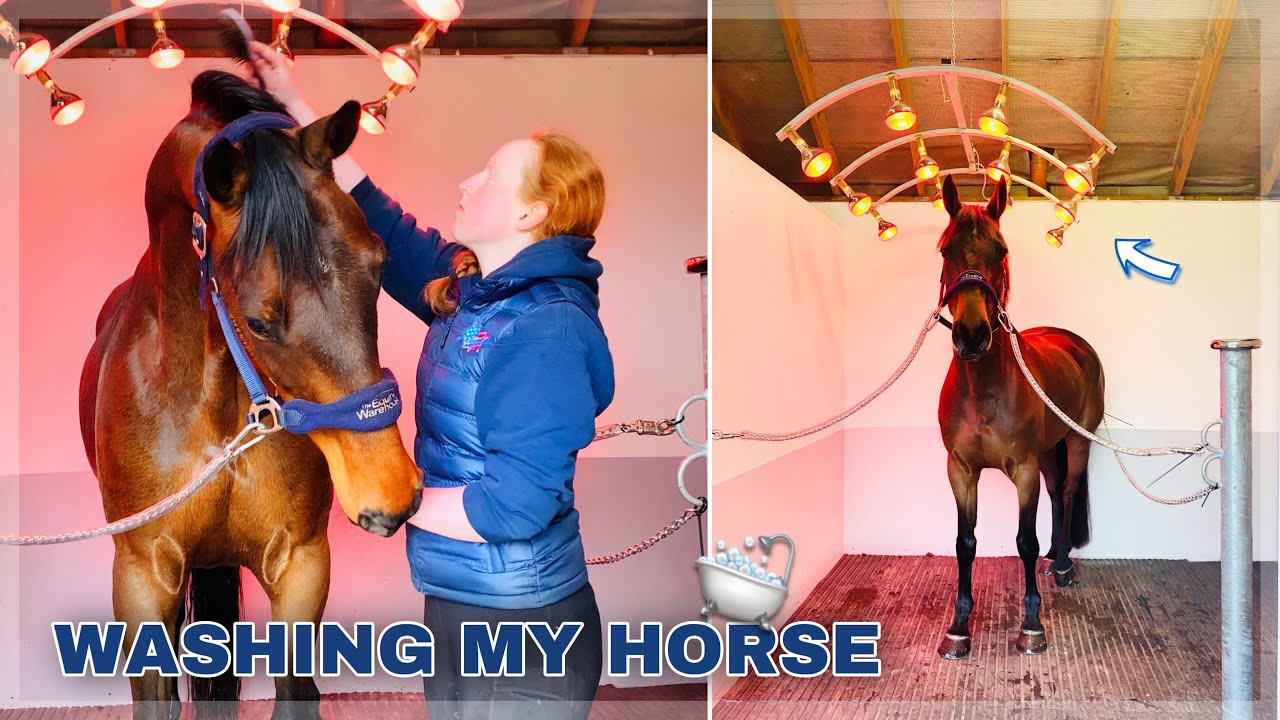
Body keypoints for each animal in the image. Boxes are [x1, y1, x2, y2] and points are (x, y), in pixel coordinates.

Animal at [934, 175, 1105, 659]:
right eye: (945, 251)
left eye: (1001, 250)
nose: (972, 335)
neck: (984, 390)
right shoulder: (961, 470)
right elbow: (965, 542)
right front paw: (959, 626)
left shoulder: (1023, 469)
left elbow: (1024, 542)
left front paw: (1031, 624)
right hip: (1048, 451)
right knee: (1056, 492)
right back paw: (1054, 559)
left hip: (1076, 442)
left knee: (1067, 491)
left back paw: (1062, 564)